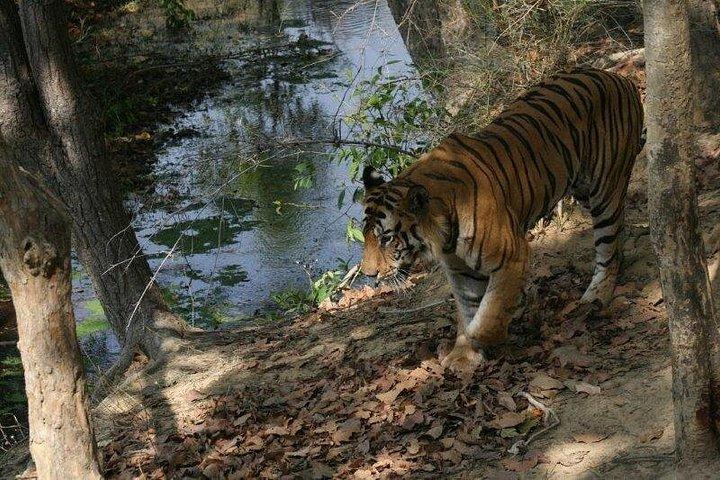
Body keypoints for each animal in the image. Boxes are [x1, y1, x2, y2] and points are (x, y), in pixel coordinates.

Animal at [360, 68, 644, 373]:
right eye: (365, 237)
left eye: (386, 238)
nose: (368, 275)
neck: (444, 233)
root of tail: (620, 79)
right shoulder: (461, 269)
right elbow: (470, 308)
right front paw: (463, 355)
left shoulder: (512, 256)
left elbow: (488, 316)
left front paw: (475, 339)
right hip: (584, 189)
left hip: (604, 190)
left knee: (608, 248)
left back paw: (596, 295)